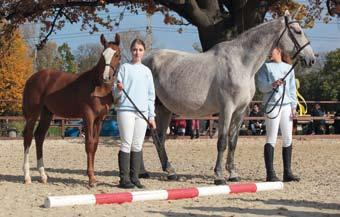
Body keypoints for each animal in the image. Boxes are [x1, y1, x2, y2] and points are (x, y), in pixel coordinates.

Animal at [22, 33, 121, 186]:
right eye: (103, 55)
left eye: (117, 54)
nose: (106, 77)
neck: (96, 86)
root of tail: (32, 78)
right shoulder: (88, 116)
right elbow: (89, 144)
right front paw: (91, 178)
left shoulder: (100, 119)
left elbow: (95, 144)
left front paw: (93, 177)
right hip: (33, 114)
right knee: (28, 138)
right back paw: (27, 177)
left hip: (47, 113)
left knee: (39, 137)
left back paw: (43, 175)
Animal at [142, 10, 314, 185]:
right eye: (298, 31)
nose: (311, 59)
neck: (241, 64)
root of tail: (143, 59)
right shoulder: (226, 109)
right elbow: (222, 142)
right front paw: (219, 176)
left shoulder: (240, 111)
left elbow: (233, 142)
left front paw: (232, 174)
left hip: (163, 109)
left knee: (159, 139)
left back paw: (169, 171)